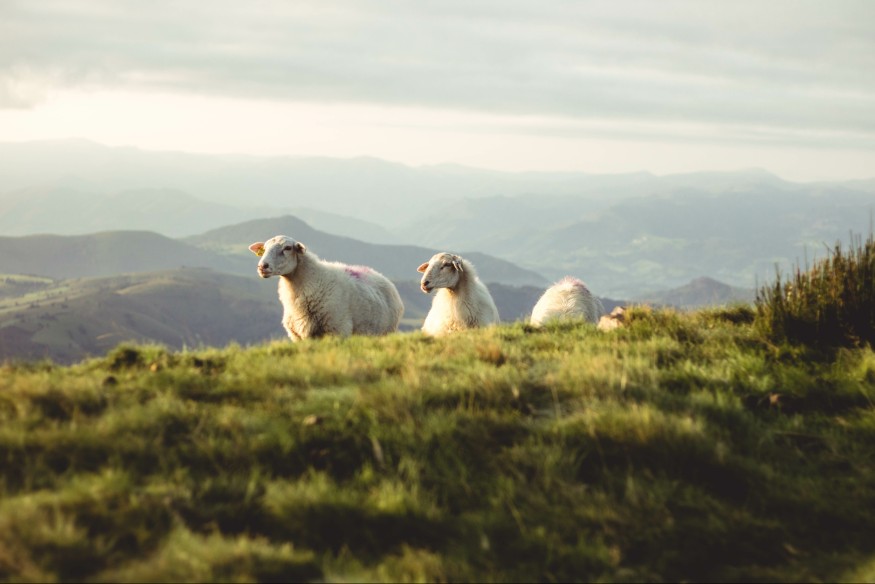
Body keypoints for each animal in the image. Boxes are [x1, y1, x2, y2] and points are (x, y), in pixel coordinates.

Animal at [249, 235, 403, 340]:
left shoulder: (338, 330)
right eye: (264, 249)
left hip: (385, 332)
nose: (262, 266)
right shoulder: (299, 337)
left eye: (287, 248)